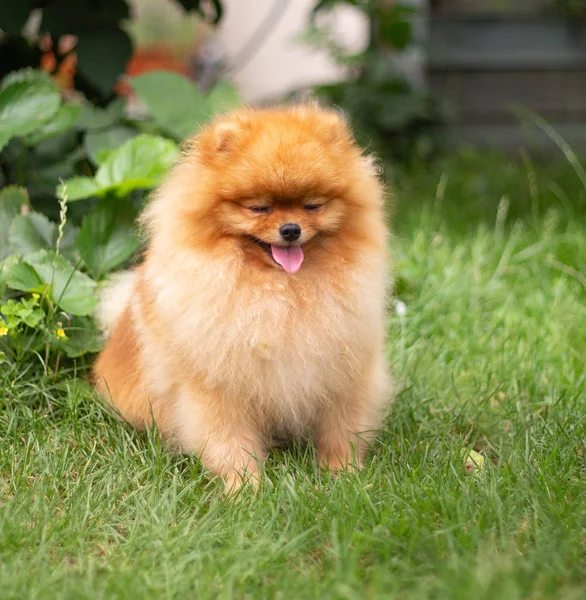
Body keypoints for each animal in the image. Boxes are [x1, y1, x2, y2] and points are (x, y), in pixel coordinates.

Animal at [93, 104, 390, 492]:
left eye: (312, 206)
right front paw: (245, 487)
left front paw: (342, 474)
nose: (291, 229)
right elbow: (228, 440)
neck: (281, 293)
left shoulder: (343, 373)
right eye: (259, 208)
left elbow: (342, 429)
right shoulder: (218, 388)